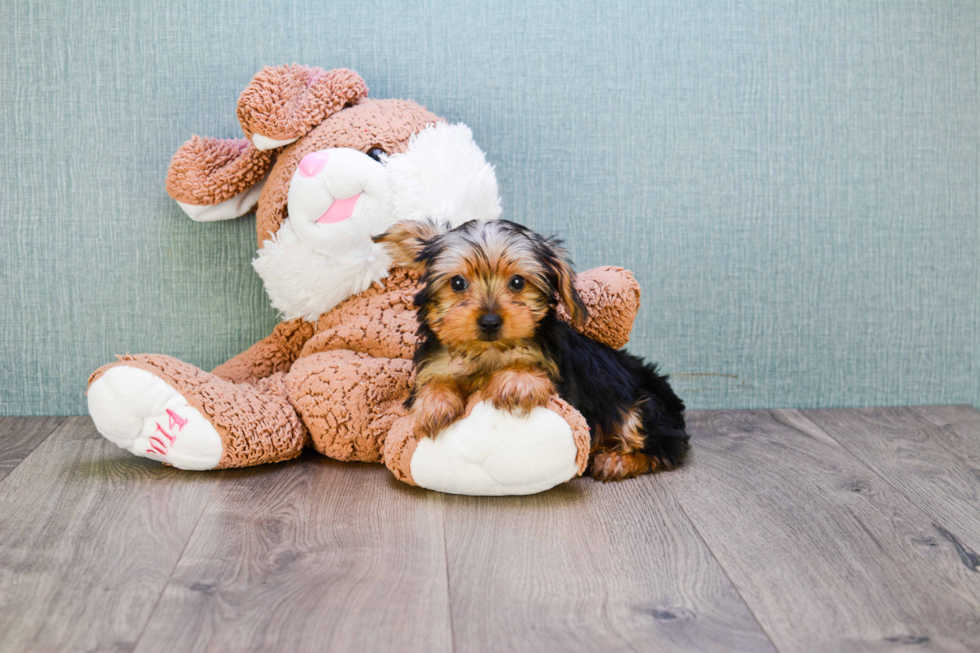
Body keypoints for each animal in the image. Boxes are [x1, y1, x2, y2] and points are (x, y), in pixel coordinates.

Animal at [376, 219, 688, 478]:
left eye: (517, 282)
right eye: (457, 283)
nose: (490, 322)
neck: (488, 352)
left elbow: (527, 368)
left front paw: (515, 383)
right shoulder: (438, 363)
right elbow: (434, 381)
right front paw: (434, 405)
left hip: (643, 407)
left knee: (666, 446)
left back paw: (617, 460)